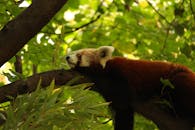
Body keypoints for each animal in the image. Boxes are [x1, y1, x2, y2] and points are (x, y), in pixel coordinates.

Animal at [66, 46, 195, 130]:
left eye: (79, 55)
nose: (67, 57)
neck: (106, 68)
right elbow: (123, 113)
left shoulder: (121, 76)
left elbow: (123, 106)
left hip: (178, 81)